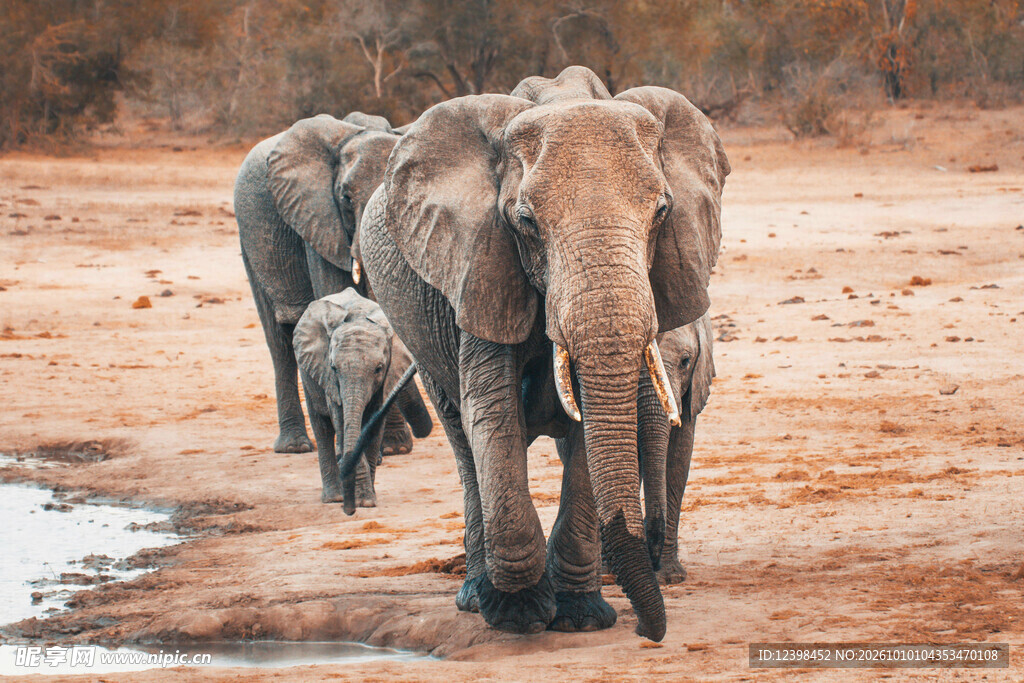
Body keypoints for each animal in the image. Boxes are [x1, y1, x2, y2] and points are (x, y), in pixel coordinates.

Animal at [233, 111, 416, 455]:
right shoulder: (316, 217)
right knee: (278, 341)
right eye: (345, 198)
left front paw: (394, 448)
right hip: (249, 241)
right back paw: (295, 447)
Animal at [292, 289, 433, 507]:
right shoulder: (329, 378)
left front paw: (367, 500)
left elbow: (373, 425)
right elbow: (341, 418)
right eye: (333, 368)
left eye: (378, 369)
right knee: (322, 427)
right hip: (309, 374)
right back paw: (334, 497)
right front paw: (362, 500)